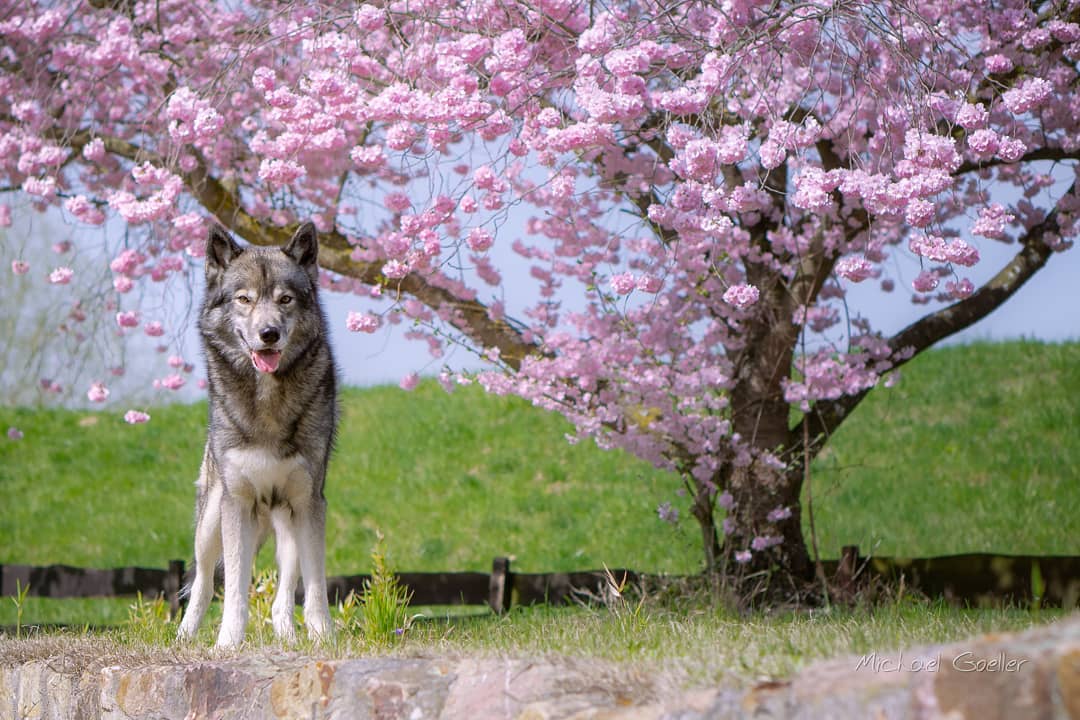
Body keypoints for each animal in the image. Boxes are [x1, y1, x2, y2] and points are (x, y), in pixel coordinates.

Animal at [177, 221, 336, 647]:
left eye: (285, 300)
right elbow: (234, 586)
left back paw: (289, 636)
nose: (269, 334)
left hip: (288, 524)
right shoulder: (238, 503)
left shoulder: (309, 502)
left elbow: (315, 585)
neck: (267, 401)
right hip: (210, 522)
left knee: (284, 593)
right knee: (202, 580)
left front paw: (323, 637)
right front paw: (228, 643)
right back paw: (185, 635)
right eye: (244, 299)